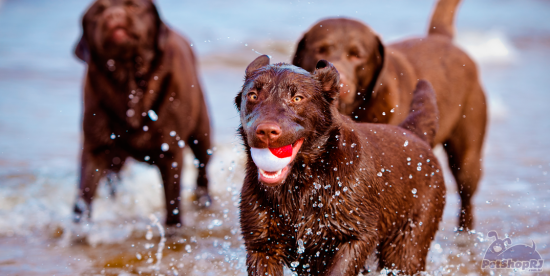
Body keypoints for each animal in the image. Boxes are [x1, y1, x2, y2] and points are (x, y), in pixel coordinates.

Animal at [73, 0, 211, 226]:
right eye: (99, 11)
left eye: (134, 6)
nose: (114, 15)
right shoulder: (95, 150)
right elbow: (83, 197)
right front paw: (78, 228)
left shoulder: (171, 154)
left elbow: (172, 203)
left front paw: (174, 229)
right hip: (115, 159)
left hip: (202, 135)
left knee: (203, 171)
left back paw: (204, 200)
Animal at [237, 55, 448, 274]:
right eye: (253, 95)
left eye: (297, 98)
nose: (266, 131)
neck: (304, 182)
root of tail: (415, 135)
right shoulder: (262, 247)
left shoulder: (356, 236)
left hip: (406, 248)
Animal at [294, 0, 488, 231]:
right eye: (320, 51)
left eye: (357, 55)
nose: (339, 83)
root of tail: (442, 38)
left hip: (467, 156)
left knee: (466, 196)